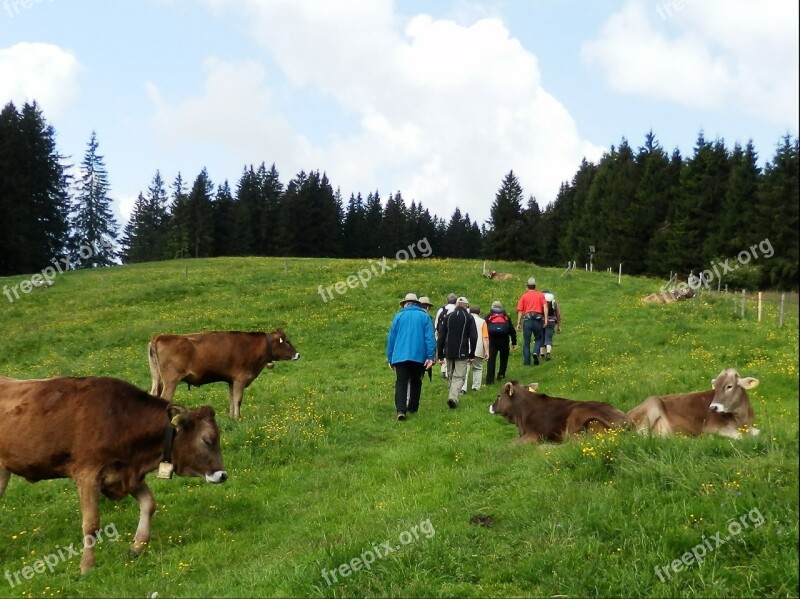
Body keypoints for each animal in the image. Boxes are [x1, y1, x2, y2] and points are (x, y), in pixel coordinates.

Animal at [0, 376, 227, 576]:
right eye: (207, 440)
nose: (222, 475)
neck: (120, 419)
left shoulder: (125, 475)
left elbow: (149, 504)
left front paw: (137, 546)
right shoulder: (88, 474)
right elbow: (91, 524)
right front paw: (87, 566)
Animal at [149, 330, 300, 420]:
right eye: (287, 341)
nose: (298, 354)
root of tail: (160, 336)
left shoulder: (231, 381)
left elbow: (232, 399)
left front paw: (232, 418)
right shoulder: (240, 378)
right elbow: (238, 399)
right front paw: (238, 418)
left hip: (157, 379)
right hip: (170, 381)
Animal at [628, 368, 760, 438]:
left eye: (729, 386)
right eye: (715, 388)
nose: (713, 407)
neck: (741, 420)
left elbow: (758, 433)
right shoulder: (712, 428)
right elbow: (740, 436)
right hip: (652, 405)